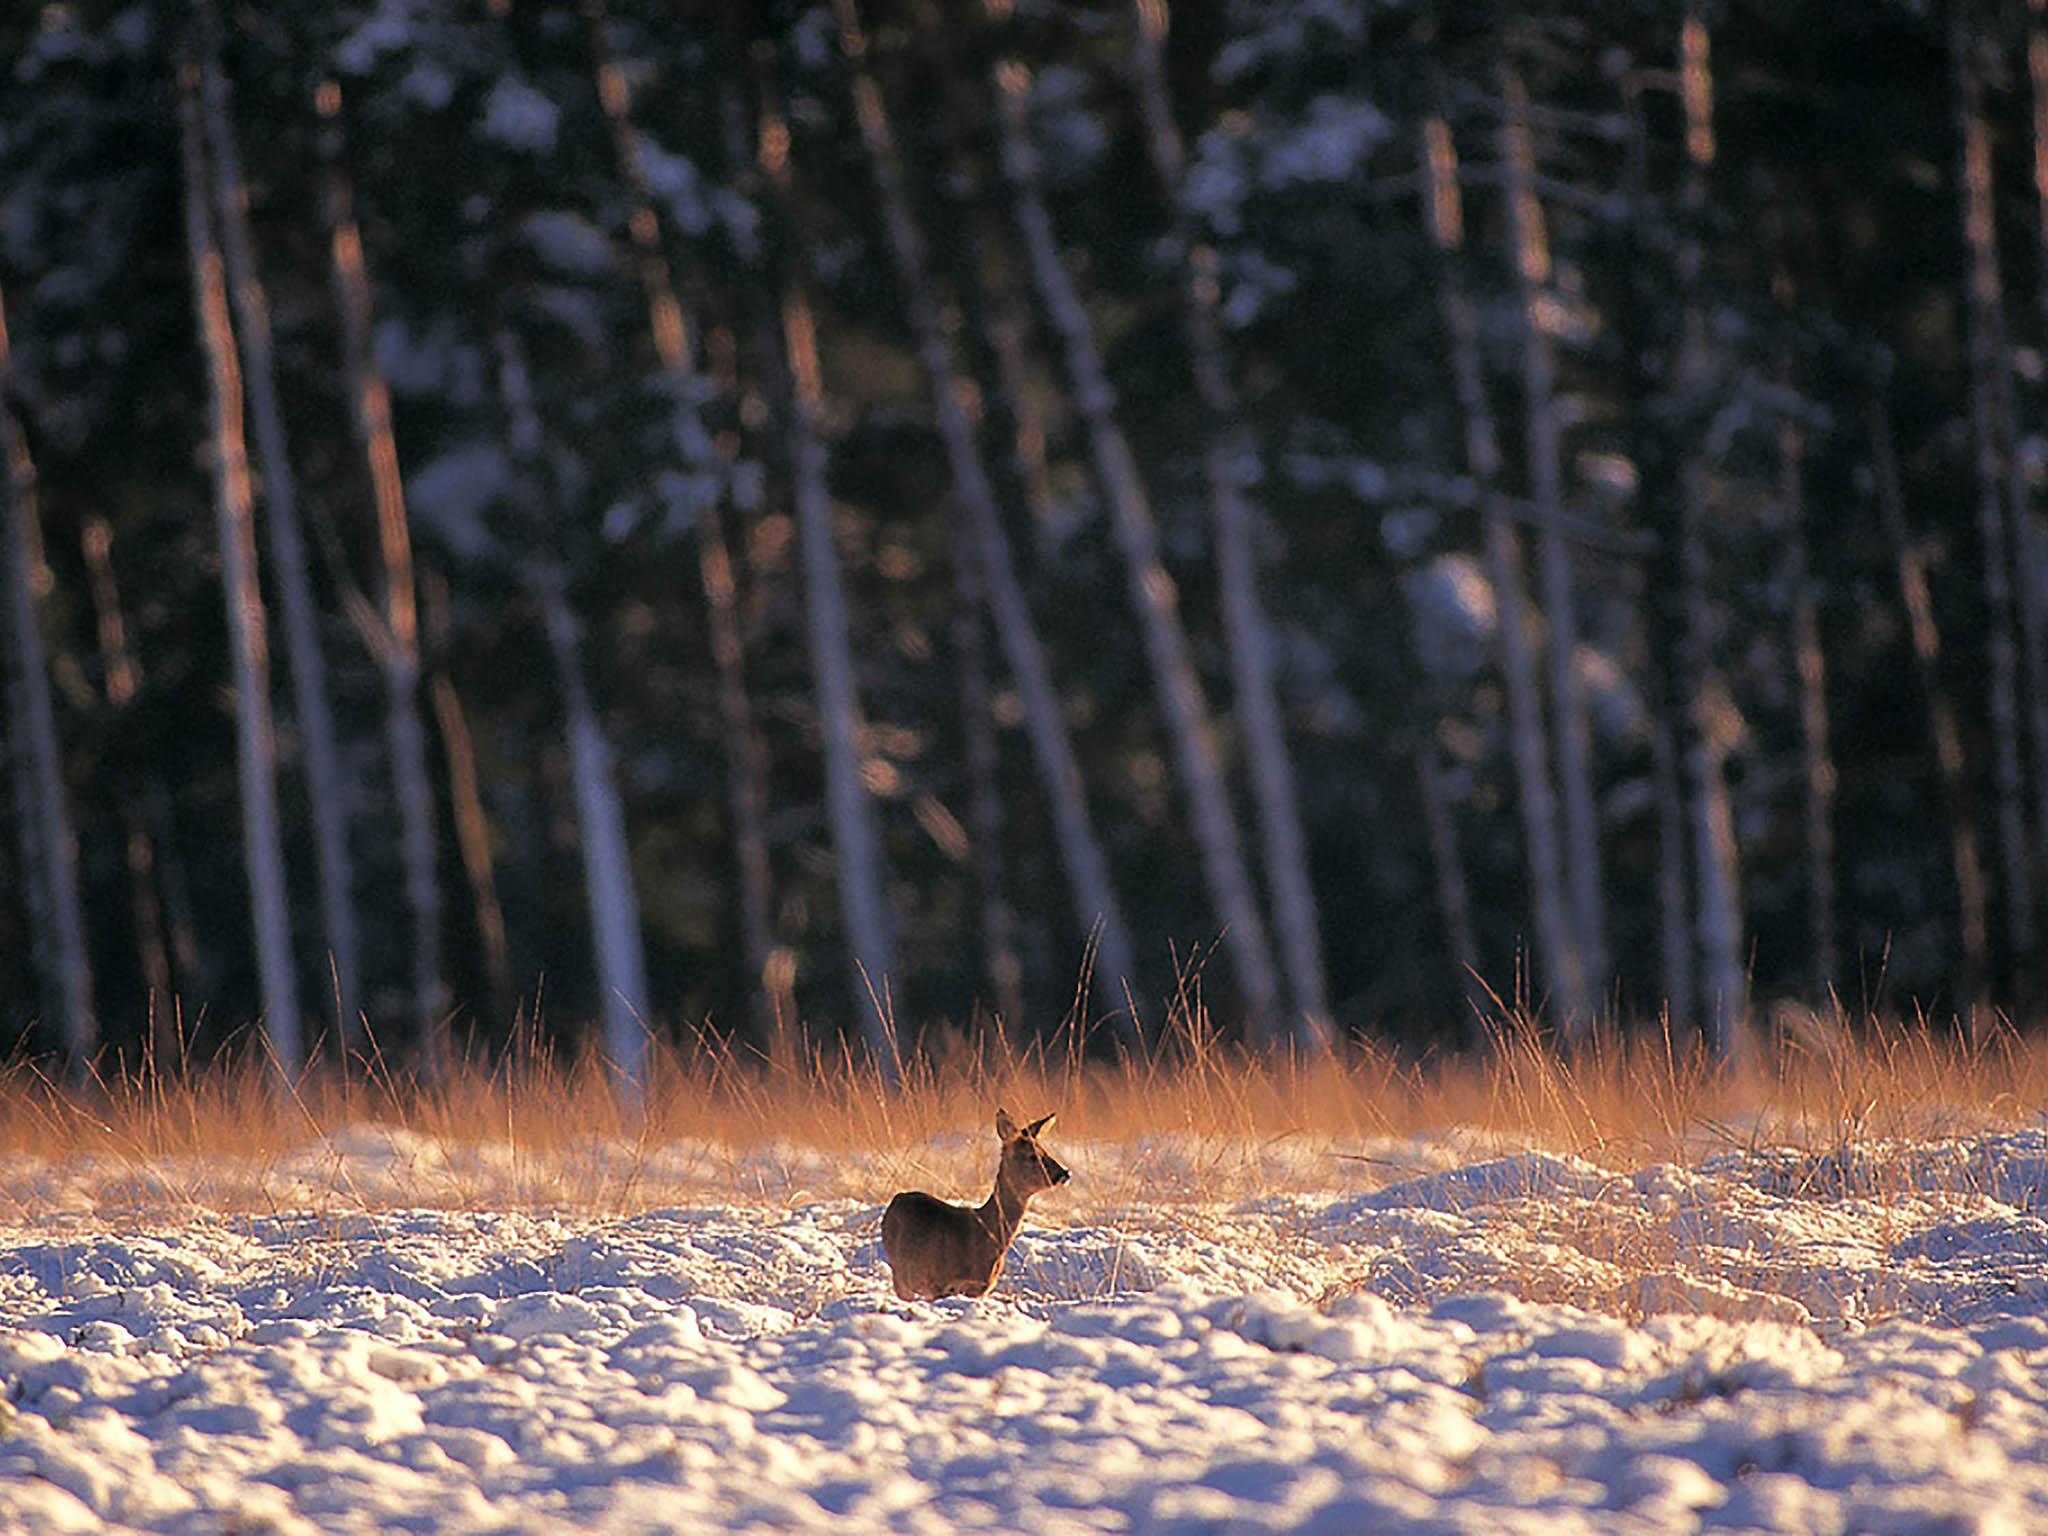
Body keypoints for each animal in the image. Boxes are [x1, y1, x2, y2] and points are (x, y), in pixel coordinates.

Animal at [880, 1114, 1073, 1302]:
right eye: (1032, 1155)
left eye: (1046, 1152)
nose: (1065, 1173)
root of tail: (897, 1198)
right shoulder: (938, 1283)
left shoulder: (979, 1289)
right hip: (900, 1274)